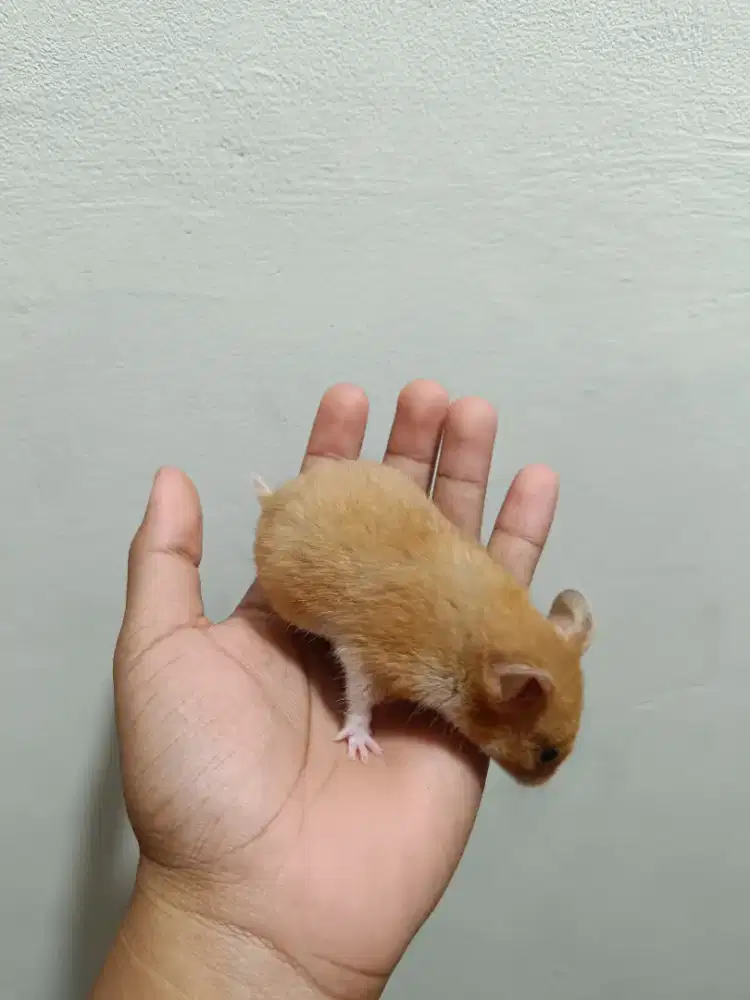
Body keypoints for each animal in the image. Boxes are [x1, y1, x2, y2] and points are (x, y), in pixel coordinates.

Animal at [253, 459, 593, 784]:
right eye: (548, 754)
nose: (539, 785)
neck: (471, 652)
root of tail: (271, 499)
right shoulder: (366, 657)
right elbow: (359, 701)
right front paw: (362, 749)